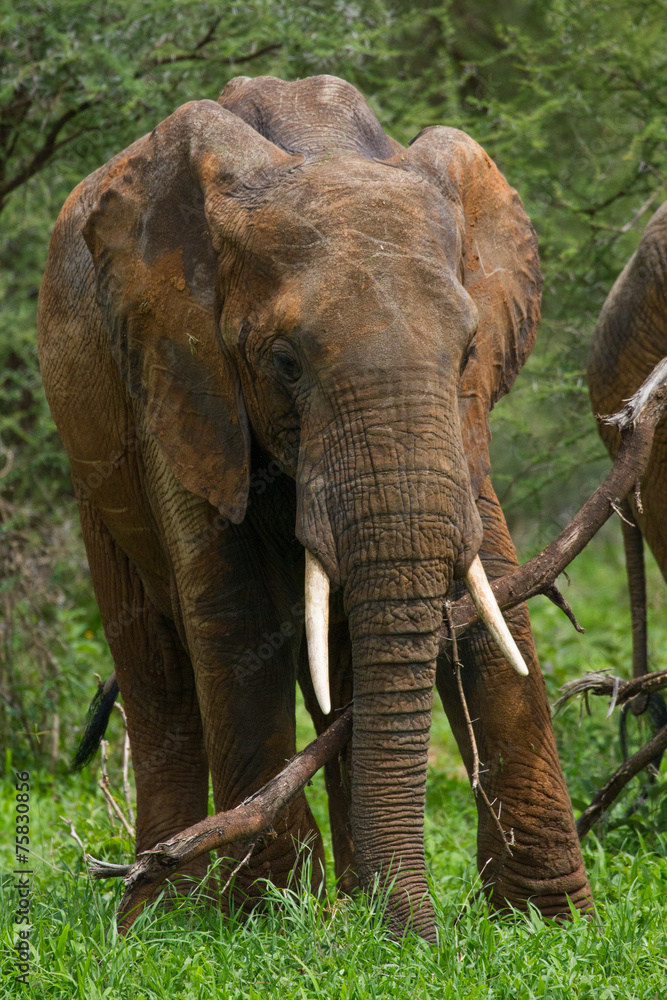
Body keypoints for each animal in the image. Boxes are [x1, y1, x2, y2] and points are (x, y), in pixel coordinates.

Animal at [37, 74, 591, 942]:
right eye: (284, 363)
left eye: (468, 351)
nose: (423, 941)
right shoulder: (177, 369)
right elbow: (231, 616)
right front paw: (262, 918)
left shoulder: (462, 423)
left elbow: (495, 591)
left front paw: (550, 923)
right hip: (89, 447)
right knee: (153, 661)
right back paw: (159, 911)